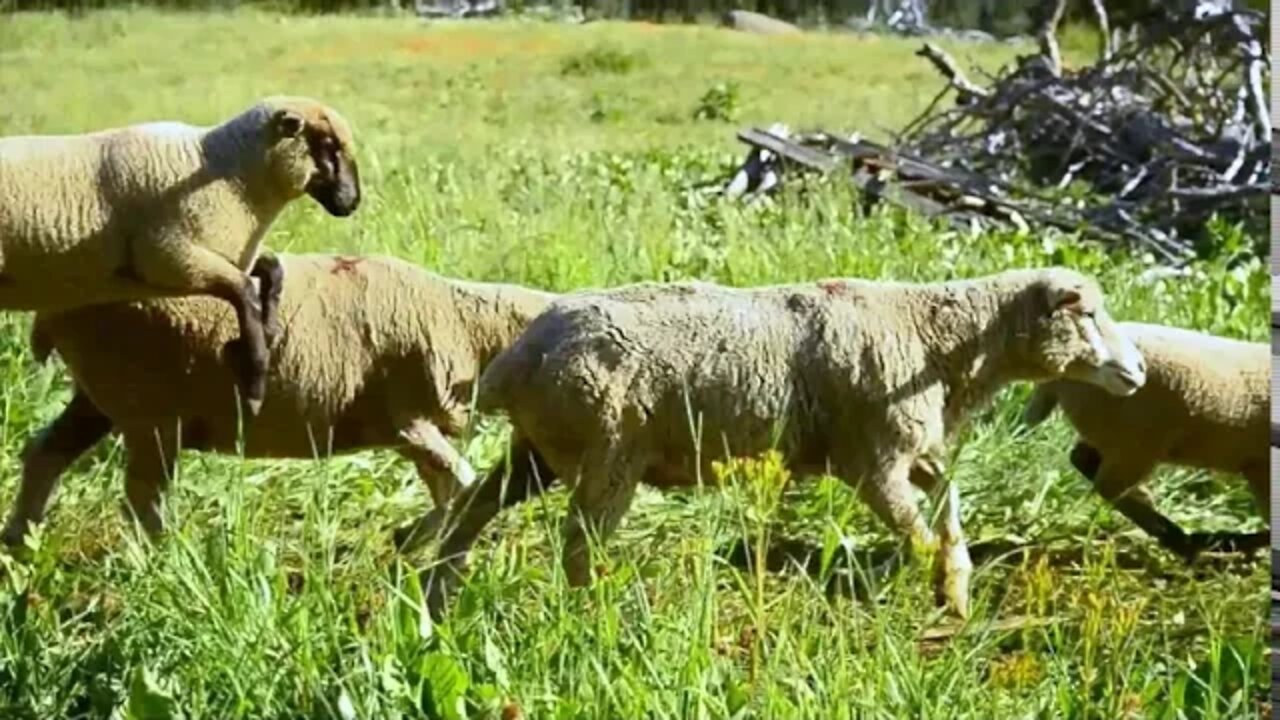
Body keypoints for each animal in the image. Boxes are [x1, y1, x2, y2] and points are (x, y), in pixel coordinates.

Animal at [0, 94, 363, 415]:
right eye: (327, 145)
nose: (353, 202)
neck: (231, 176)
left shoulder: (223, 252)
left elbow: (271, 270)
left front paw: (270, 328)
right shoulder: (171, 259)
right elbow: (245, 291)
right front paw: (254, 385)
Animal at [2, 252, 558, 543]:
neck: (473, 322)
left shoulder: (412, 429)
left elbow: (448, 487)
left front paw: (419, 543)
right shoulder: (411, 417)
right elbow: (463, 482)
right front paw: (418, 538)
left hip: (100, 398)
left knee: (45, 453)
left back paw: (20, 541)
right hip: (148, 406)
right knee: (140, 495)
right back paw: (172, 552)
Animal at [422, 265, 1152, 617]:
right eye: (1087, 314)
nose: (1139, 372)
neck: (937, 341)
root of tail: (517, 357)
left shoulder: (913, 451)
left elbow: (949, 506)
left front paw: (959, 589)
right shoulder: (874, 462)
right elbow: (919, 538)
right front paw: (918, 599)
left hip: (540, 450)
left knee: (475, 507)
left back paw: (439, 590)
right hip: (607, 454)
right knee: (578, 547)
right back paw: (600, 613)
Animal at [1018, 320, 1269, 561]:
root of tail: (1056, 378)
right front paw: (1229, 543)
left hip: (1115, 434)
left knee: (1084, 460)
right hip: (1136, 441)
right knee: (1108, 484)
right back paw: (1185, 539)